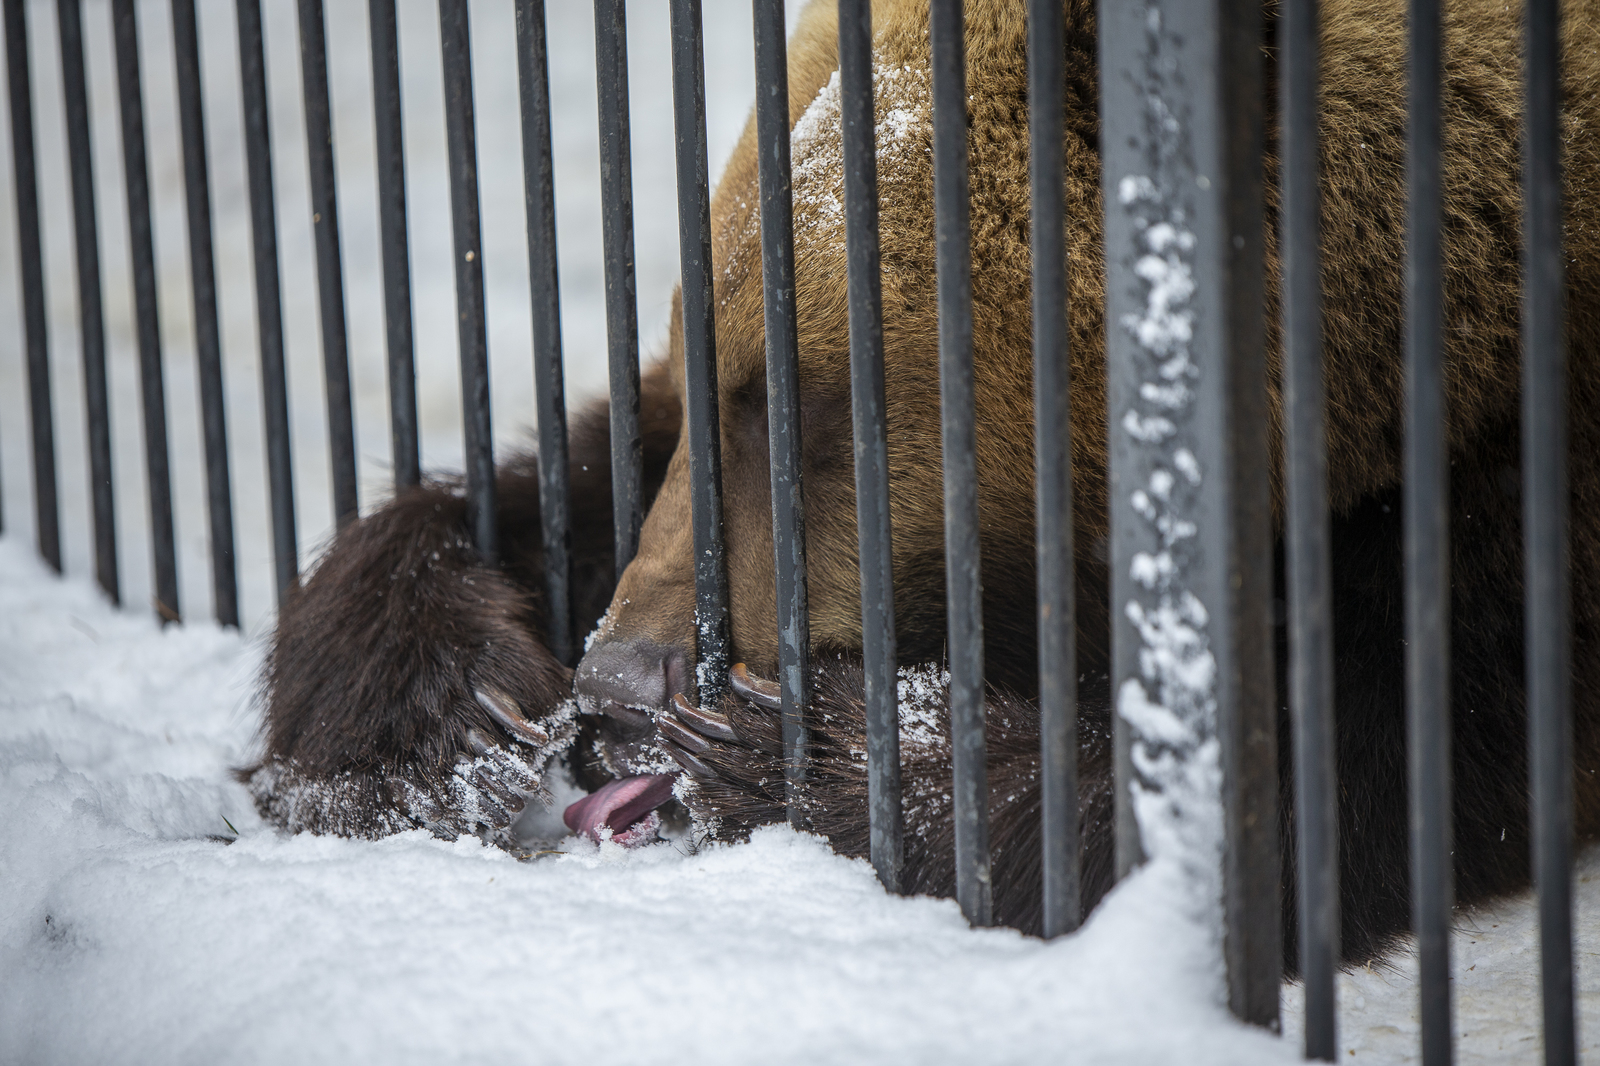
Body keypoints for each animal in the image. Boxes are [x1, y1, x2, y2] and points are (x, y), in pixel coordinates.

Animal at [246, 0, 1600, 960]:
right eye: (713, 381)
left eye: (804, 402)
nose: (618, 678)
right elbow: (558, 481)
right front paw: (446, 705)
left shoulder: (1514, 481)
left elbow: (1360, 741)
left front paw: (810, 754)